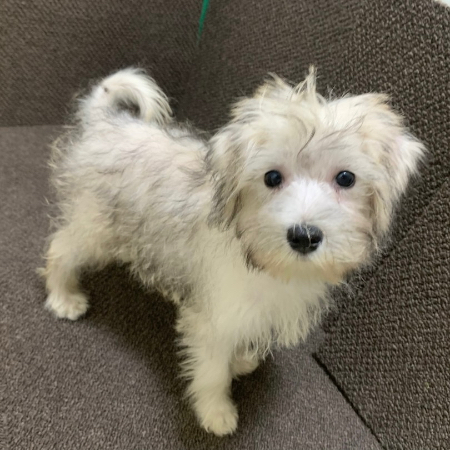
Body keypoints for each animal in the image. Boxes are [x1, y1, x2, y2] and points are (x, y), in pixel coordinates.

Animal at [41, 67, 425, 436]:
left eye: (346, 178)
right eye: (272, 177)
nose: (303, 236)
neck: (265, 265)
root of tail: (105, 123)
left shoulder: (246, 311)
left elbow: (239, 342)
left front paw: (240, 360)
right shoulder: (212, 319)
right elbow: (212, 371)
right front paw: (216, 411)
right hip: (93, 228)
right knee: (59, 250)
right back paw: (64, 298)